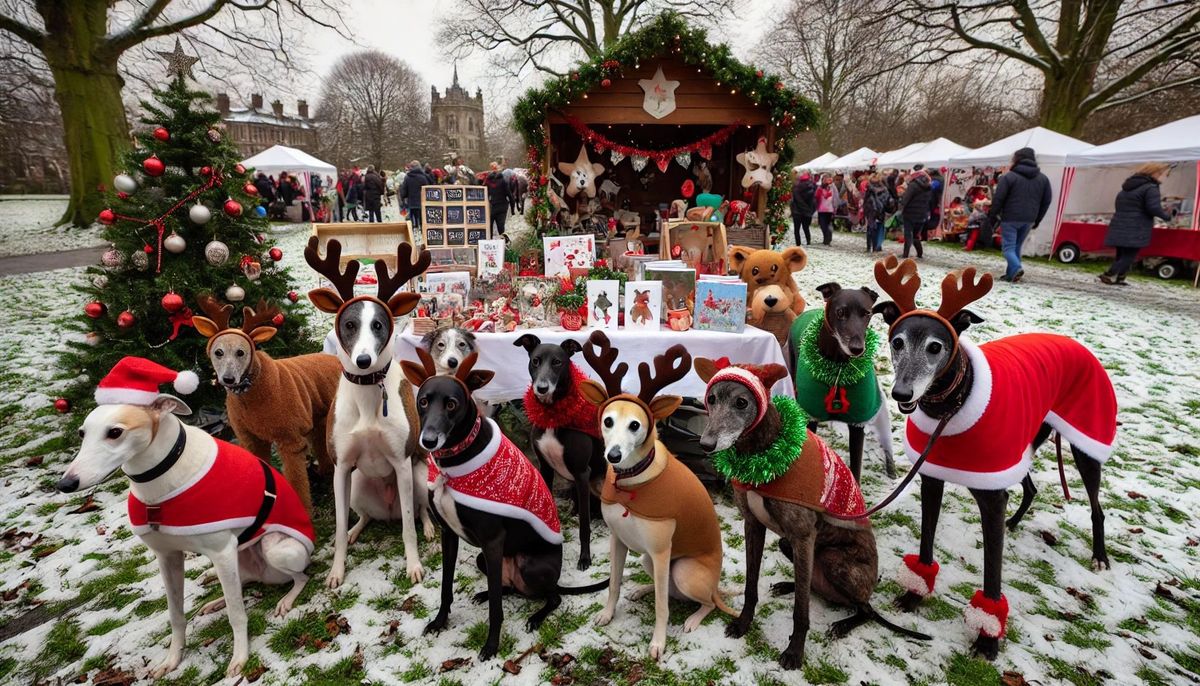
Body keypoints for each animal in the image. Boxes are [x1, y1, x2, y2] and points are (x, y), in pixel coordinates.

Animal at [56, 357, 316, 676]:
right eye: (82, 433)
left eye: (115, 432)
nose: (66, 484)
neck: (159, 481)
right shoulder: (167, 556)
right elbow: (176, 614)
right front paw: (172, 659)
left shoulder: (223, 551)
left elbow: (237, 614)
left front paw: (239, 658)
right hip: (238, 562)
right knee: (242, 583)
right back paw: (215, 602)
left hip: (276, 549)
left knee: (299, 577)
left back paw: (285, 600)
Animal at [696, 357, 926, 666]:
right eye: (711, 399)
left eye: (742, 402)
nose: (706, 445)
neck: (765, 450)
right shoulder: (753, 525)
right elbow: (751, 584)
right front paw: (743, 623)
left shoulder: (803, 536)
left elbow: (801, 610)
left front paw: (794, 653)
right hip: (788, 544)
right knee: (811, 586)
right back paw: (787, 585)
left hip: (834, 560)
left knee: (863, 608)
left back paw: (843, 624)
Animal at [873, 255, 1113, 657]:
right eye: (897, 341)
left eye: (935, 347)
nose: (902, 393)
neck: (952, 406)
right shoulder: (932, 478)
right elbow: (925, 543)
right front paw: (913, 594)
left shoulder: (991, 496)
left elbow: (992, 571)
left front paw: (987, 638)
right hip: (1020, 447)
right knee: (1030, 488)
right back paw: (1014, 523)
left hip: (1085, 444)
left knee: (1096, 506)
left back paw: (1099, 556)